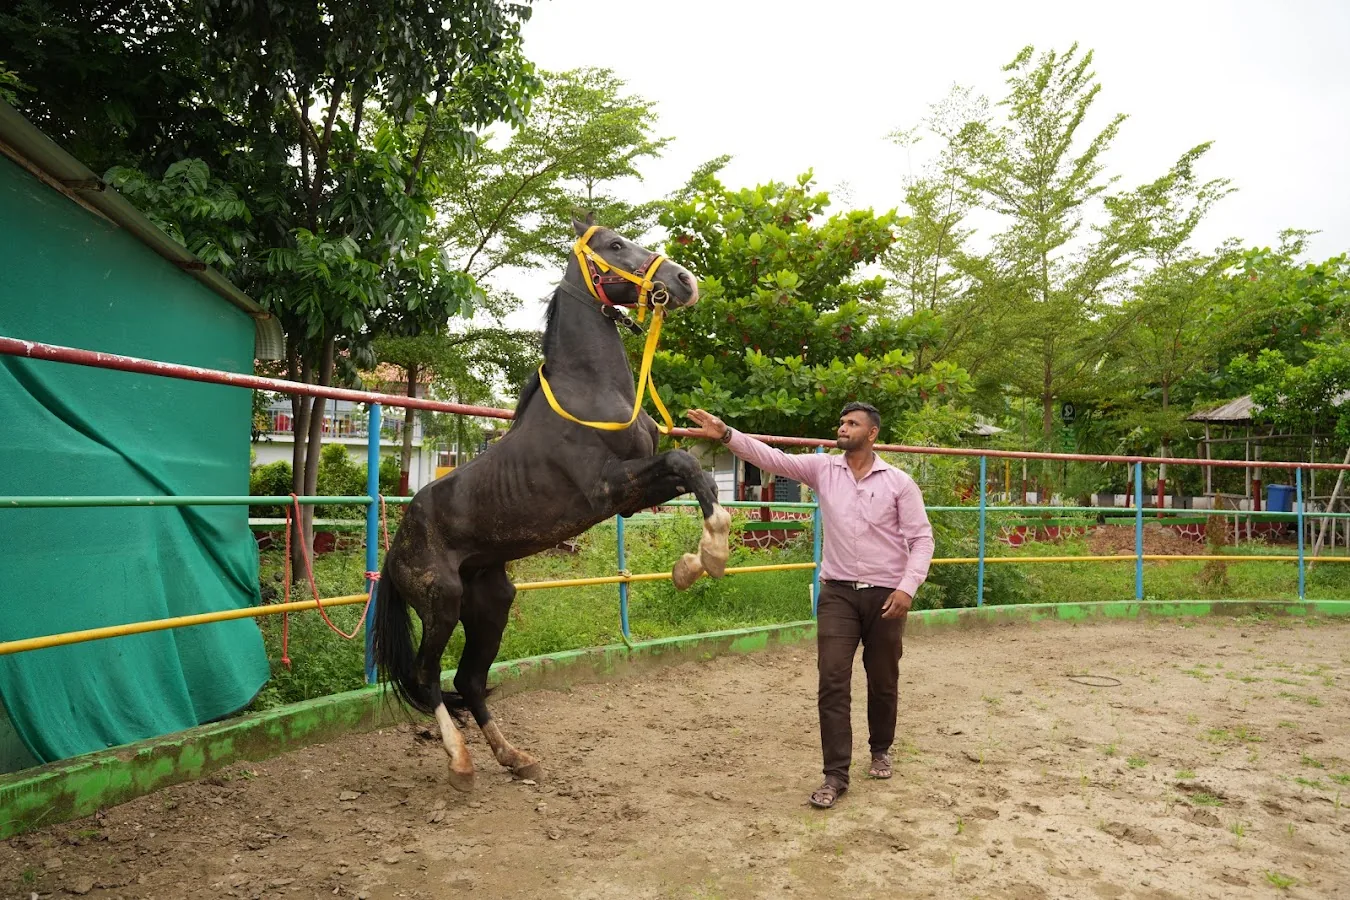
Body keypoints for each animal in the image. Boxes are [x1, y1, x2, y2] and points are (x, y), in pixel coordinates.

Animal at [371, 216, 731, 790]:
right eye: (615, 245)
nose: (684, 281)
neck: (592, 391)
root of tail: (394, 551)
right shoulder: (609, 489)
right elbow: (686, 463)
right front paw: (712, 557)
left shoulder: (630, 499)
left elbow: (697, 477)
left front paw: (693, 565)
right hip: (441, 603)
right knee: (428, 679)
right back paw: (461, 762)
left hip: (491, 603)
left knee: (469, 680)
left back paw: (516, 758)